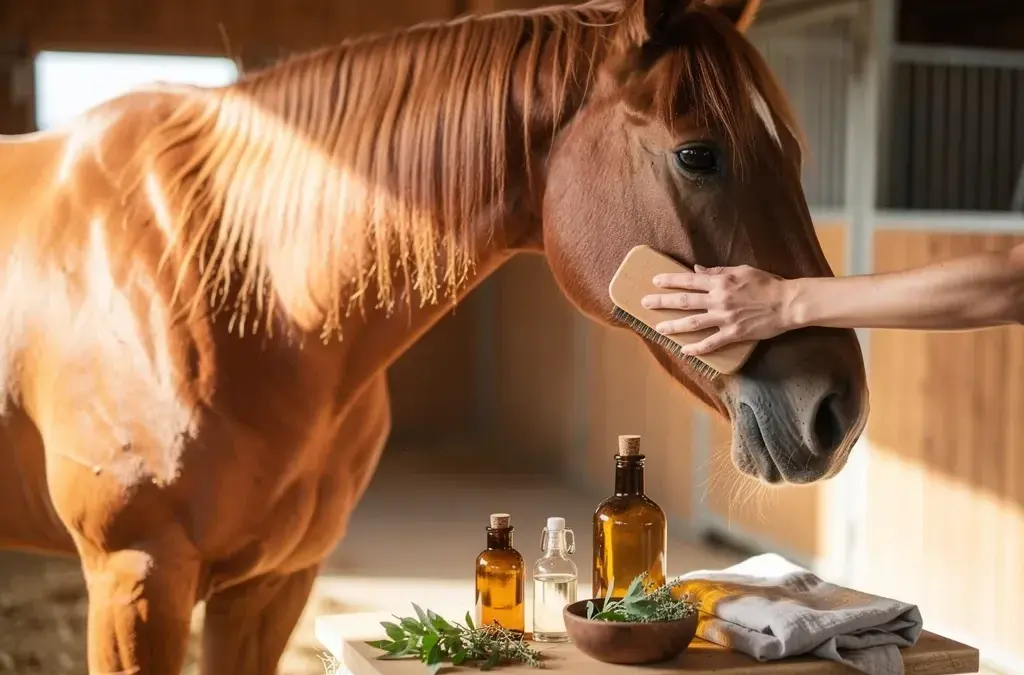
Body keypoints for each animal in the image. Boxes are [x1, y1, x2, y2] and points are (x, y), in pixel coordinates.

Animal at [0, 0, 868, 672]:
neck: (234, 284)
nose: (841, 408)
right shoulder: (138, 577)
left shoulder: (272, 583)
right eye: (698, 153)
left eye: (794, 152)